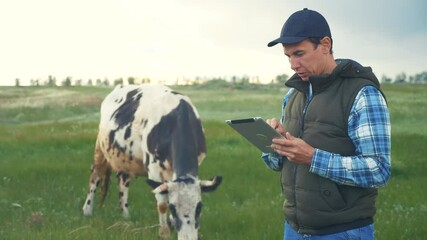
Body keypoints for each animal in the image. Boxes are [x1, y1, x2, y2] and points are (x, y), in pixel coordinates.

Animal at [83, 84, 224, 238]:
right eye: (173, 209)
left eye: (199, 207)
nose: (188, 238)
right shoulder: (154, 169)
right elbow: (162, 203)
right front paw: (164, 232)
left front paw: (171, 225)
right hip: (100, 148)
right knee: (95, 175)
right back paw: (87, 210)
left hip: (126, 159)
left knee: (123, 183)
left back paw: (125, 215)